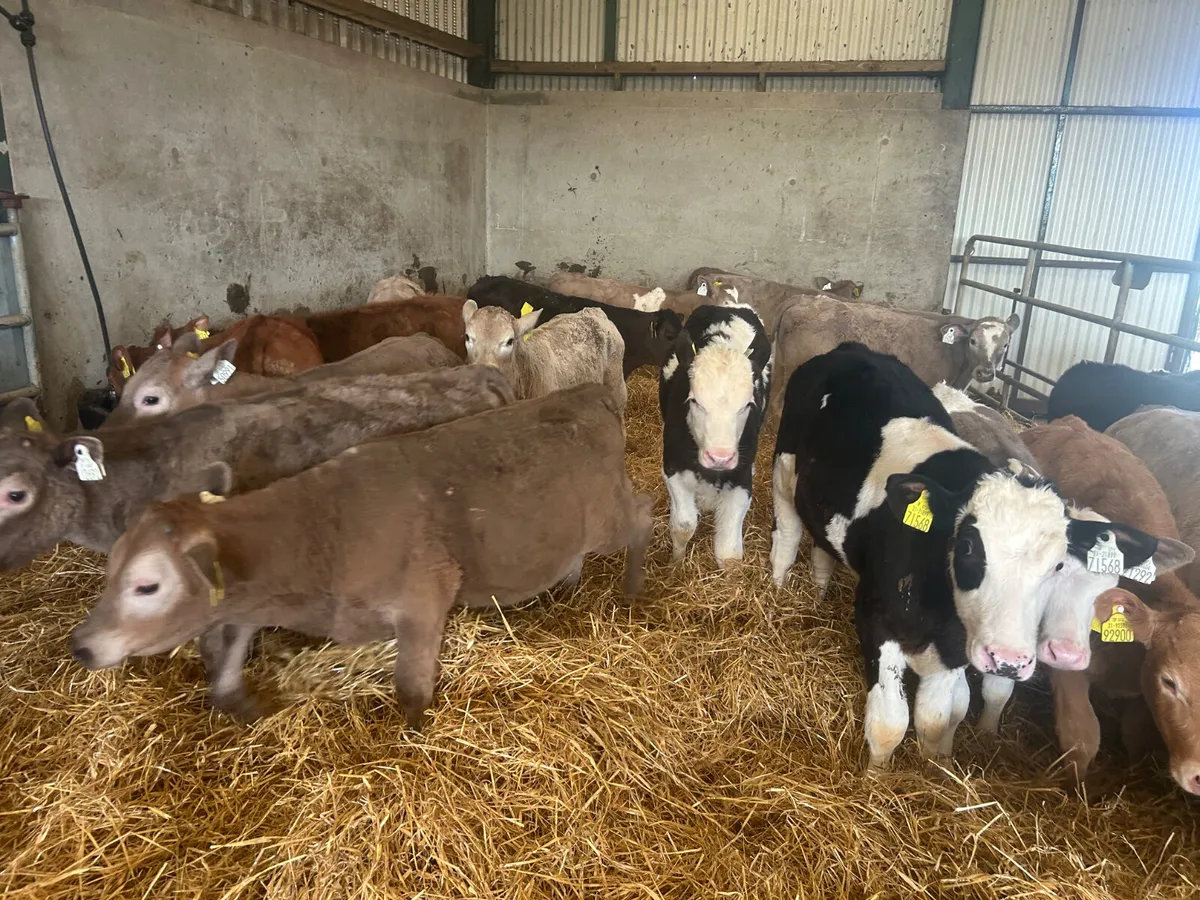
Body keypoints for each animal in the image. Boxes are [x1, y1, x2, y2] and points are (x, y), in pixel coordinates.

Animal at [68, 384, 655, 727]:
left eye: (147, 585)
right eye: (110, 568)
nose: (80, 645)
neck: (320, 533)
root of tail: (587, 392)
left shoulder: (425, 598)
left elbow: (411, 690)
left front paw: (413, 735)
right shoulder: (251, 598)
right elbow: (230, 652)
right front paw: (240, 702)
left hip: (610, 516)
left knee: (646, 515)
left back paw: (631, 591)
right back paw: (569, 582)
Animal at [659, 305, 771, 568]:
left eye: (747, 404)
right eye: (694, 401)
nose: (719, 457)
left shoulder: (741, 480)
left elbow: (729, 552)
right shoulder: (671, 467)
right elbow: (683, 525)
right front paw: (675, 564)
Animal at [768, 343, 1130, 770]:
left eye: (1057, 565)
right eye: (969, 546)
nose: (1008, 659)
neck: (939, 608)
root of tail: (852, 349)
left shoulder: (955, 651)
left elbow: (935, 719)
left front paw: (931, 767)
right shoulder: (877, 619)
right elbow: (890, 722)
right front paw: (875, 775)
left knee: (823, 545)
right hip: (784, 471)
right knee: (788, 535)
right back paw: (777, 588)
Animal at [1021, 415, 1199, 793]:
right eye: (1171, 683)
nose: (1198, 777)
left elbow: (1136, 734)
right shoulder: (1070, 673)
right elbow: (1083, 735)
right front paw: (1075, 790)